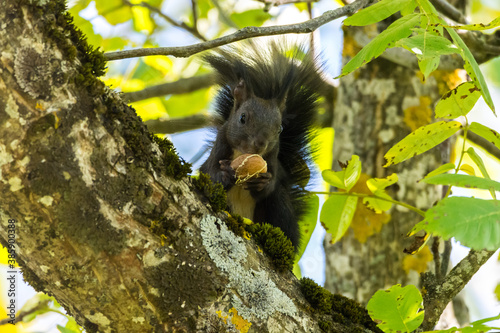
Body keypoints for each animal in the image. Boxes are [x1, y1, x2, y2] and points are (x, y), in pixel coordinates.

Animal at [199, 42, 324, 248]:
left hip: (281, 208)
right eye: (243, 118)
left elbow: (270, 184)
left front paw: (262, 183)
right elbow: (210, 178)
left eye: (280, 128)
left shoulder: (272, 158)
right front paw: (224, 174)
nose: (260, 144)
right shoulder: (219, 147)